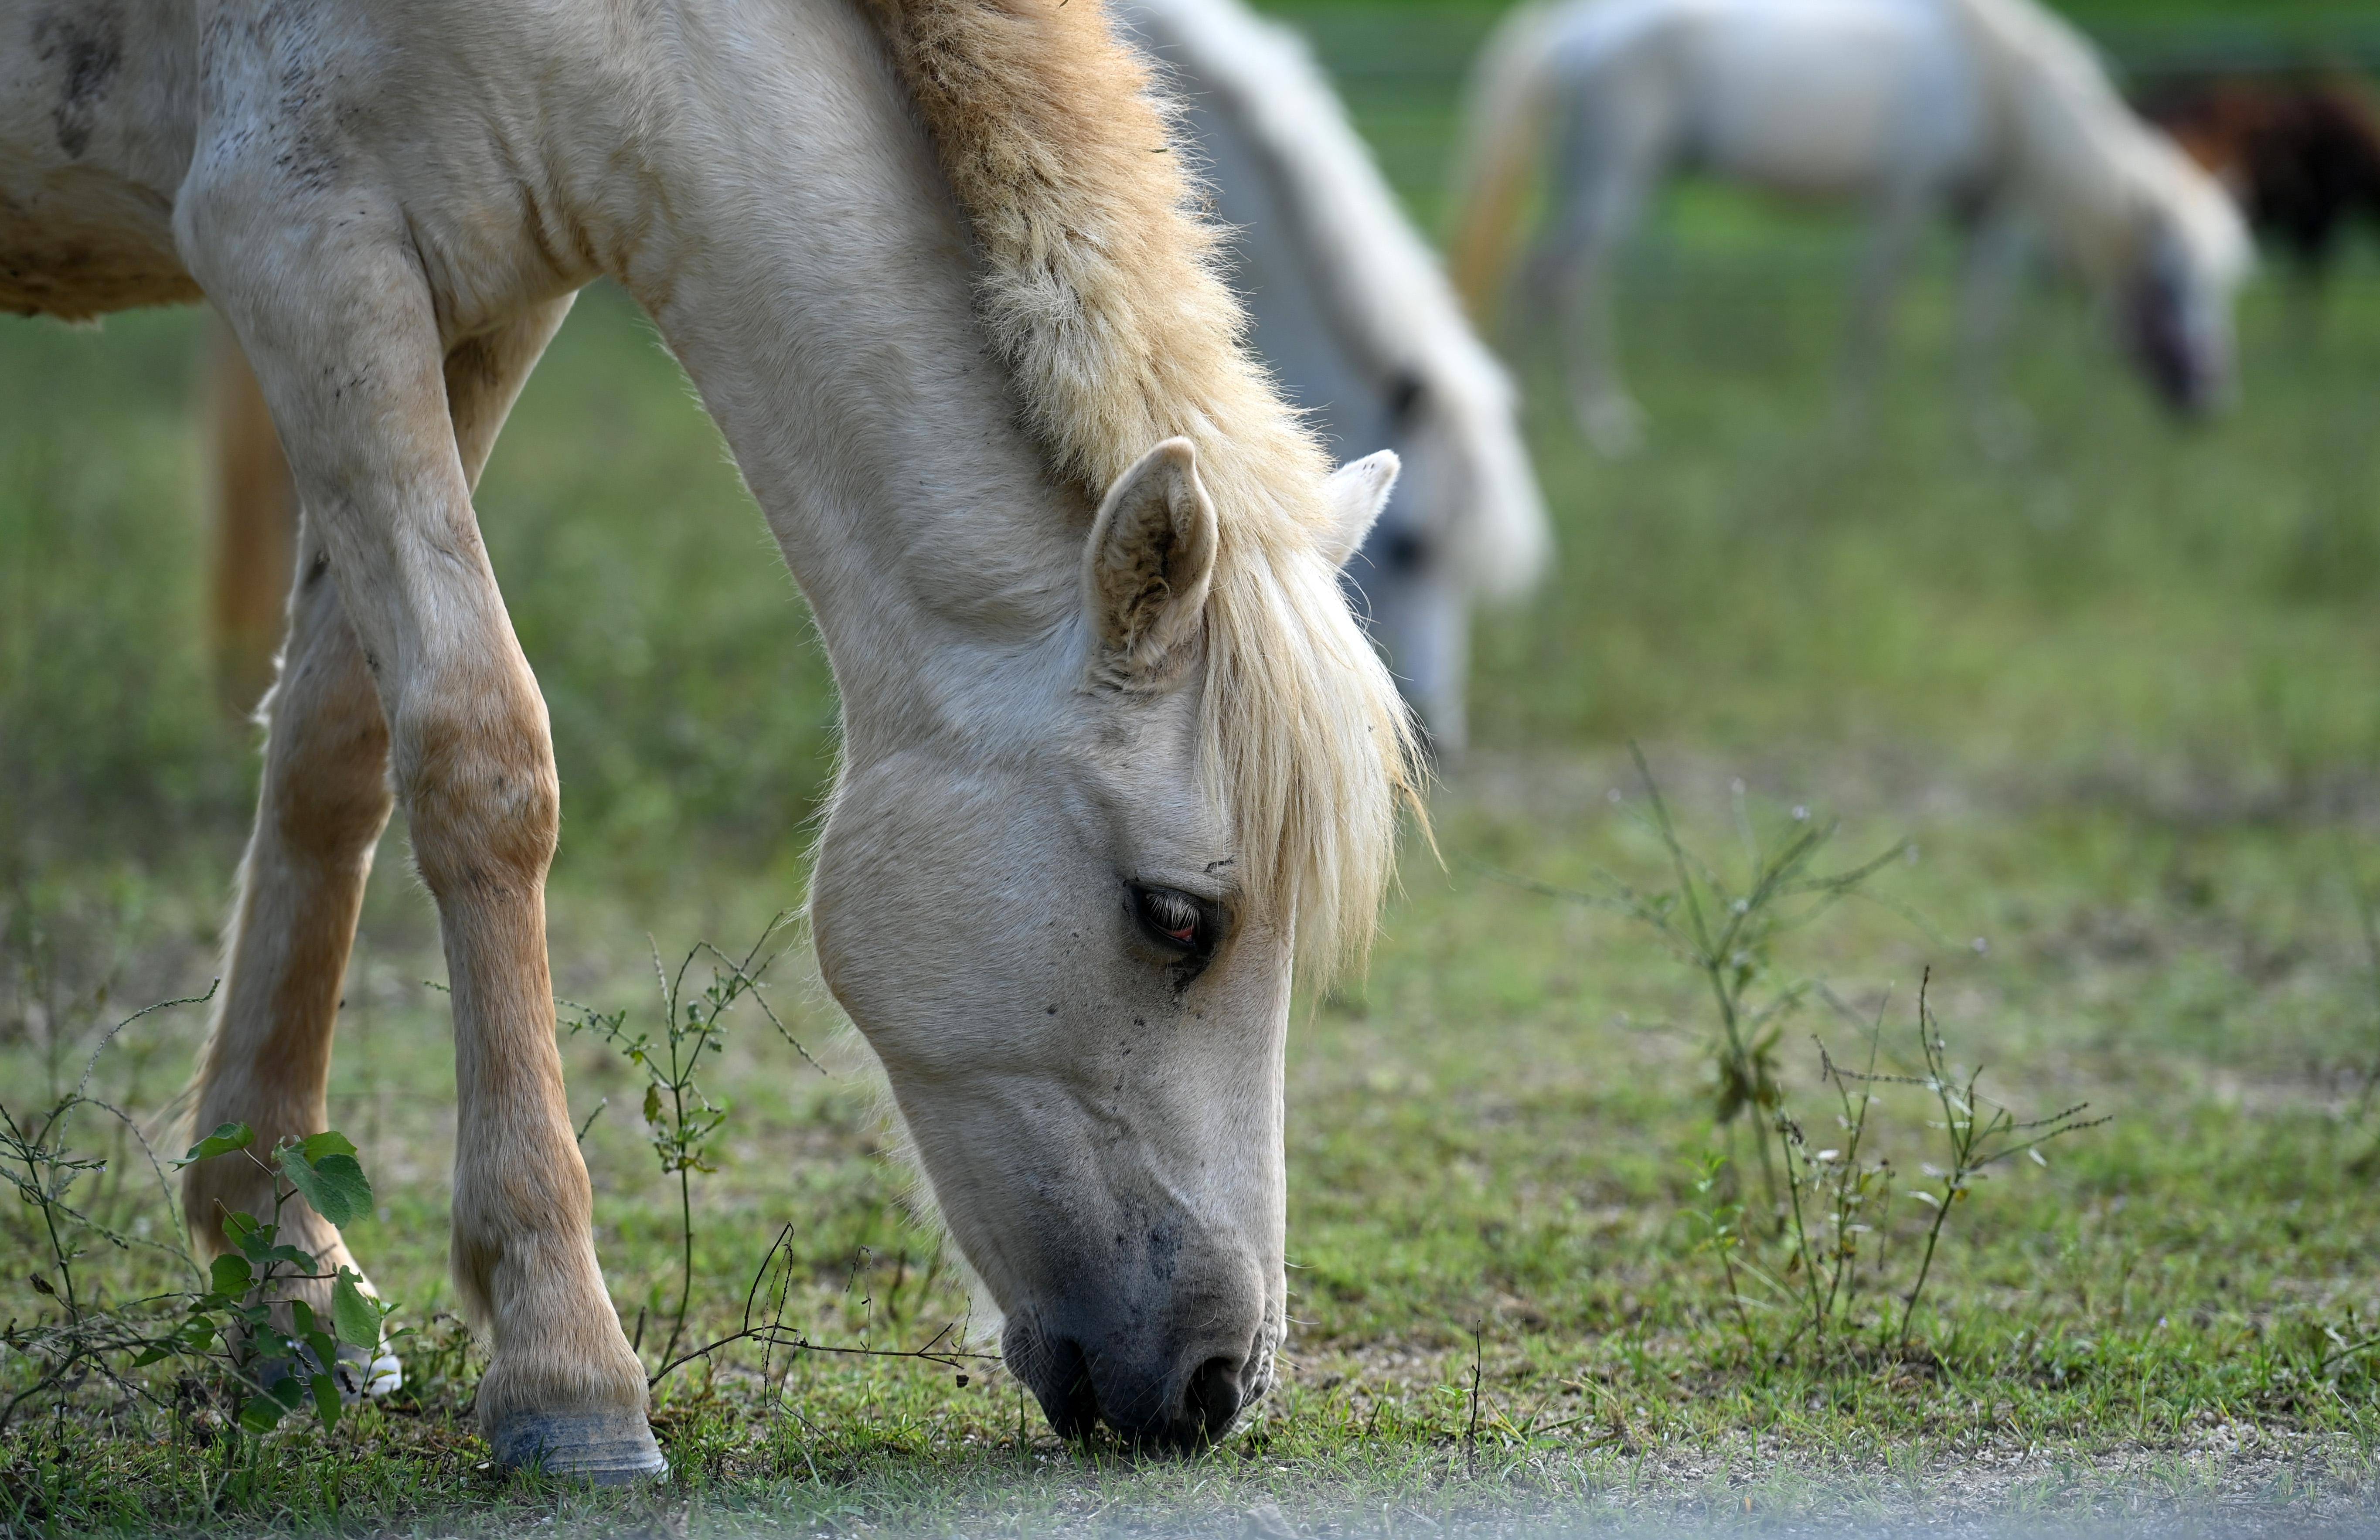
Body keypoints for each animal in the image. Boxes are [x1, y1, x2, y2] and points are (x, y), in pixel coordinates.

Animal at [1447, 0, 2255, 455]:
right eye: (2168, 282)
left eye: (2221, 289)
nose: (2210, 400)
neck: (1997, 84)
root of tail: (1574, 30)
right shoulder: (1903, 199)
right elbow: (1877, 310)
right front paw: (1852, 429)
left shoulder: (1984, 220)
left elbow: (1978, 323)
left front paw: (1988, 432)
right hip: (1618, 173)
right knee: (1563, 277)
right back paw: (1599, 423)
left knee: (1550, 273)